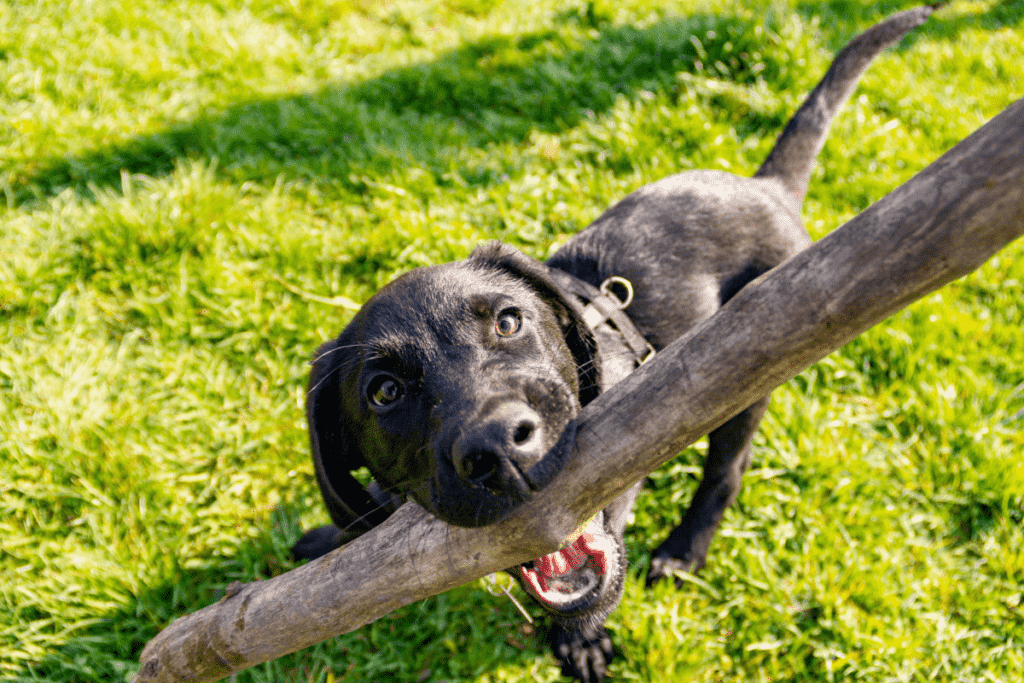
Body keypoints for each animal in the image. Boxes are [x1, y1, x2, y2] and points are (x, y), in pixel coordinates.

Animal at [292, 7, 933, 679]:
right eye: (384, 392)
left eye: (509, 322)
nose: (500, 446)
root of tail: (768, 189)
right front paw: (331, 537)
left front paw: (581, 639)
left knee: (726, 469)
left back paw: (683, 548)